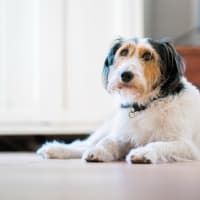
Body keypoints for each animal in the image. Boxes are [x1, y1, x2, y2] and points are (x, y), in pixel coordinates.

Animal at [36, 37, 200, 164]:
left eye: (148, 55)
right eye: (124, 52)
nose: (125, 74)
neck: (146, 105)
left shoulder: (188, 147)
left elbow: (158, 144)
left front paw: (143, 153)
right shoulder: (123, 135)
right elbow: (109, 141)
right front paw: (98, 151)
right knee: (86, 143)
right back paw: (56, 149)